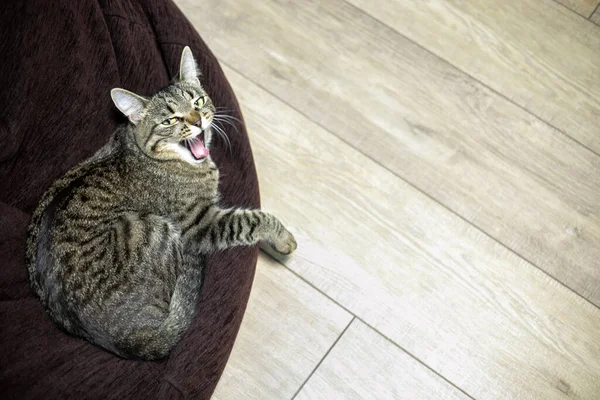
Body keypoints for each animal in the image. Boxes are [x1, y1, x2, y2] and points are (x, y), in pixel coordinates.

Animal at [25, 46, 298, 360]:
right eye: (170, 120)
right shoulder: (199, 224)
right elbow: (252, 219)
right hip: (153, 228)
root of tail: (132, 341)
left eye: (198, 101)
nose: (197, 121)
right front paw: (283, 238)